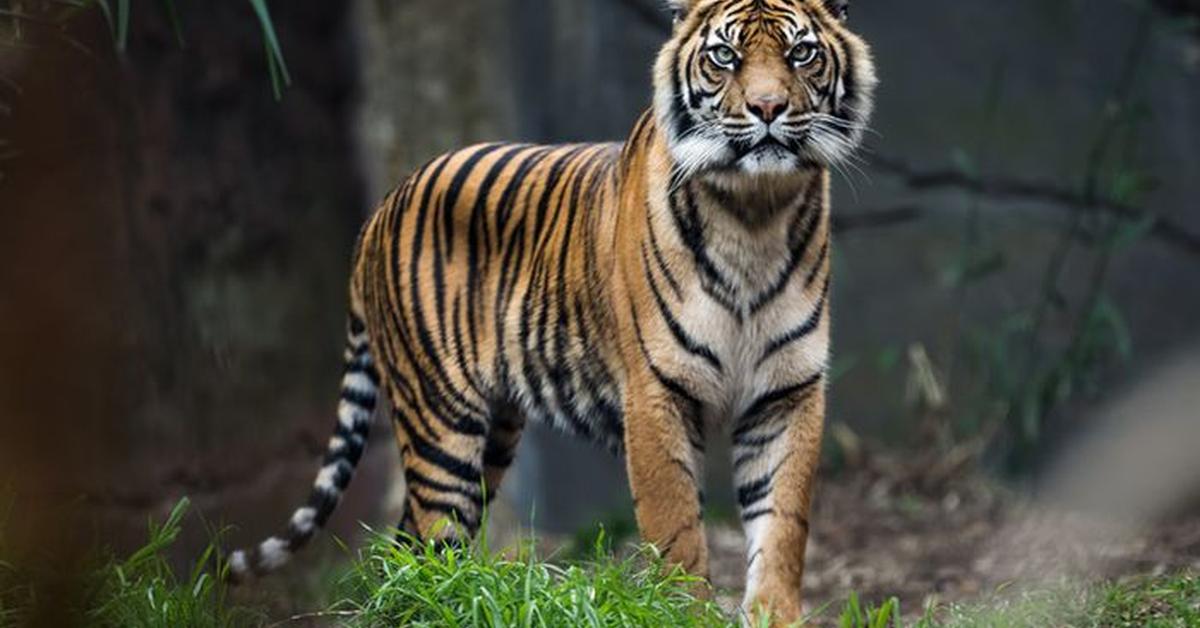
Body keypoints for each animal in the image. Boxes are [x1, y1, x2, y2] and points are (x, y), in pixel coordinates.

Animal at [229, 0, 878, 619]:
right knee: (430, 540)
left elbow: (782, 526)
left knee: (407, 546)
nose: (768, 107)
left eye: (800, 53)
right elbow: (678, 533)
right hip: (441, 421)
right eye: (724, 56)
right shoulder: (655, 395)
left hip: (493, 432)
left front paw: (773, 614)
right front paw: (685, 612)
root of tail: (379, 211)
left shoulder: (787, 394)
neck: (755, 213)